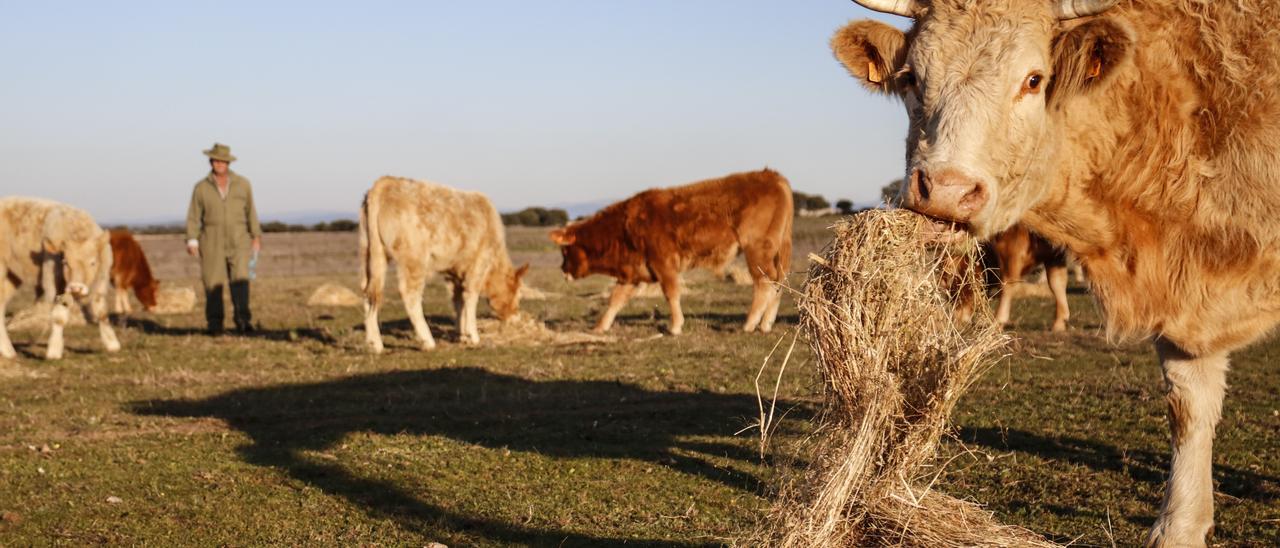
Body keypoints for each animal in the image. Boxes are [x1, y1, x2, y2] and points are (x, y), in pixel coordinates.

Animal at [0, 197, 120, 358]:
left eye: (93, 262)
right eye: (65, 262)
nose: (76, 287)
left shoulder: (100, 284)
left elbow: (102, 313)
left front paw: (113, 344)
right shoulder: (56, 285)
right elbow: (59, 317)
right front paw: (54, 351)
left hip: (11, 277)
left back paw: (8, 351)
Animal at [358, 177, 527, 353]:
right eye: (518, 294)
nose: (516, 316)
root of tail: (385, 182)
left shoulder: (454, 272)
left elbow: (458, 301)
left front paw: (461, 334)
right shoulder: (479, 263)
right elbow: (470, 298)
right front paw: (473, 336)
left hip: (369, 255)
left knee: (368, 292)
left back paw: (375, 343)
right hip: (414, 259)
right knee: (410, 295)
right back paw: (428, 341)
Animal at [550, 167, 788, 332]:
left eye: (565, 251)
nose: (562, 269)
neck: (624, 227)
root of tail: (772, 176)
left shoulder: (663, 264)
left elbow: (671, 293)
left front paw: (675, 326)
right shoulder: (633, 273)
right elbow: (615, 299)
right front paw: (600, 326)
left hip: (756, 250)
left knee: (764, 282)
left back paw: (750, 323)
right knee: (778, 283)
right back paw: (766, 323)